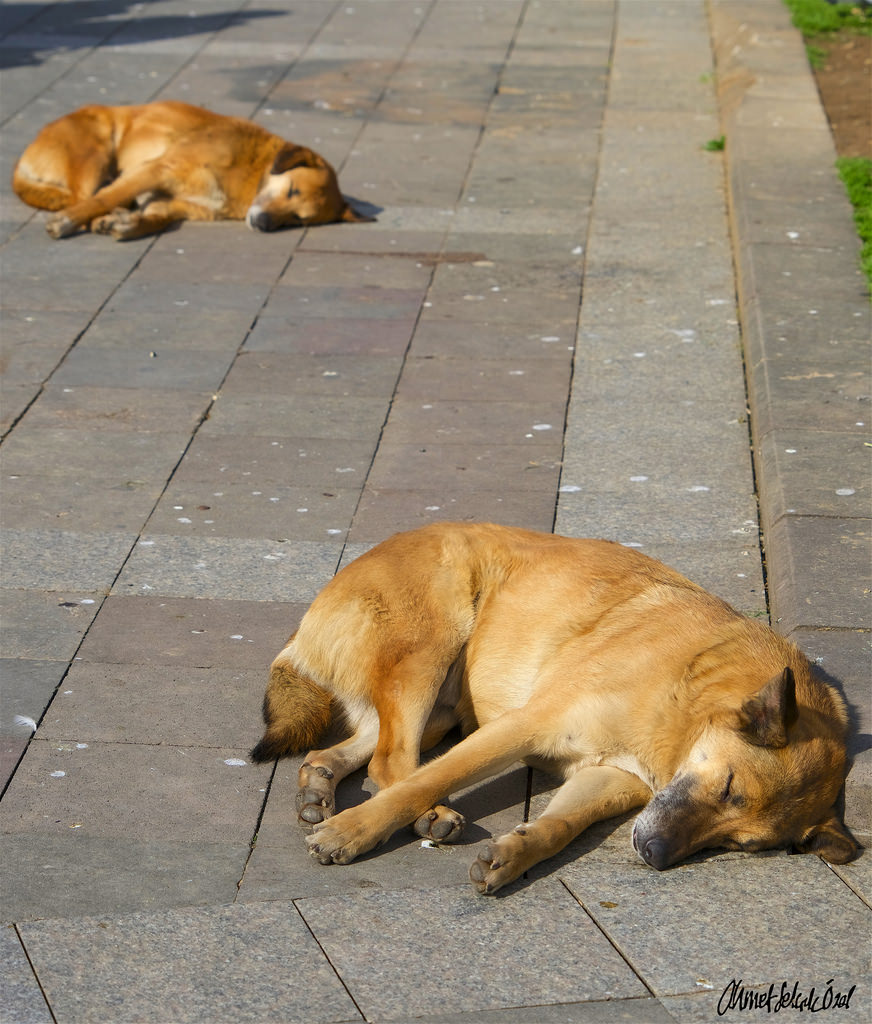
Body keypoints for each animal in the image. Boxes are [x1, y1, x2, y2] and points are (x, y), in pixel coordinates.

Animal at [11, 101, 370, 241]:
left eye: (298, 219)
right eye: (292, 190)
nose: (264, 225)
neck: (248, 176)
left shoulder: (172, 202)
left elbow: (158, 220)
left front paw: (129, 223)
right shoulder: (157, 170)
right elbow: (103, 200)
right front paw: (70, 221)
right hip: (96, 150)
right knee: (86, 196)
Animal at [248, 524, 855, 892]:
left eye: (736, 843)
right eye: (729, 789)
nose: (655, 854)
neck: (691, 694)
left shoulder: (613, 780)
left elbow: (560, 825)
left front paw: (515, 854)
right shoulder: (526, 724)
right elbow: (429, 779)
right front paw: (351, 833)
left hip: (439, 706)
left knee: (346, 751)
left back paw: (320, 784)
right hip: (430, 648)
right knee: (392, 763)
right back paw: (416, 814)